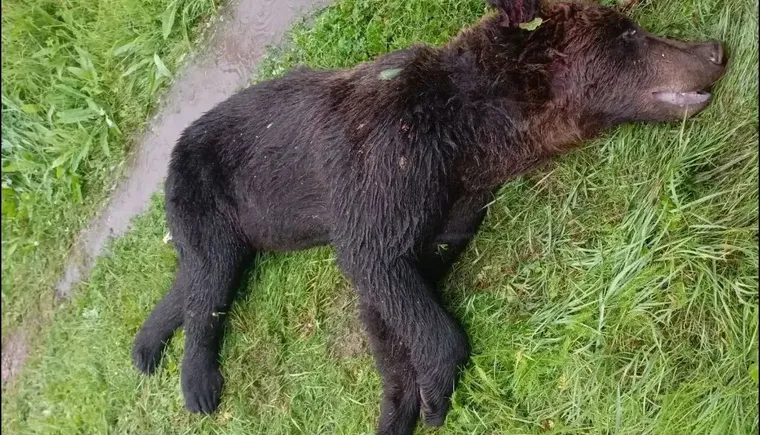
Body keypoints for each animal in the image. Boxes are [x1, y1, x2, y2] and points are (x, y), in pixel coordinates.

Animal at [131, 0, 726, 433]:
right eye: (628, 33)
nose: (716, 48)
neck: (469, 134)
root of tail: (177, 148)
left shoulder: (456, 200)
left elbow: (391, 309)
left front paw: (400, 406)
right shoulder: (388, 163)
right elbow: (384, 270)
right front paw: (435, 396)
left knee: (197, 276)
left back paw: (145, 348)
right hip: (205, 187)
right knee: (210, 279)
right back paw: (198, 383)